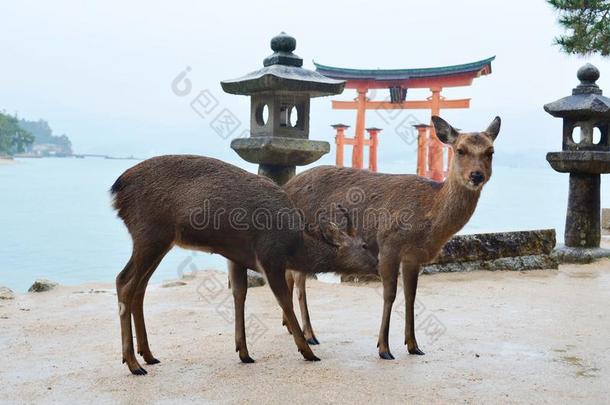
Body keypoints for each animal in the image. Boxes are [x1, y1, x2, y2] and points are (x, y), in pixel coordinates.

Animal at [109, 154, 376, 372]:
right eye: (364, 245)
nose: (377, 265)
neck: (294, 246)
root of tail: (117, 189)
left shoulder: (236, 256)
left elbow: (240, 294)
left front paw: (244, 352)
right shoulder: (269, 255)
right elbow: (283, 300)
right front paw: (308, 351)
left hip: (160, 241)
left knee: (140, 288)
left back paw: (148, 355)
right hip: (149, 232)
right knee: (124, 281)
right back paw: (133, 363)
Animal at [280, 115, 498, 358]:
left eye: (490, 151)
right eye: (460, 150)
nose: (477, 175)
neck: (428, 217)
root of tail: (286, 186)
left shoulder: (413, 256)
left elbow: (411, 295)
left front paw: (414, 345)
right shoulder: (388, 245)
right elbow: (390, 294)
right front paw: (384, 348)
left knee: (291, 274)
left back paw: (291, 326)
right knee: (299, 279)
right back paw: (309, 334)